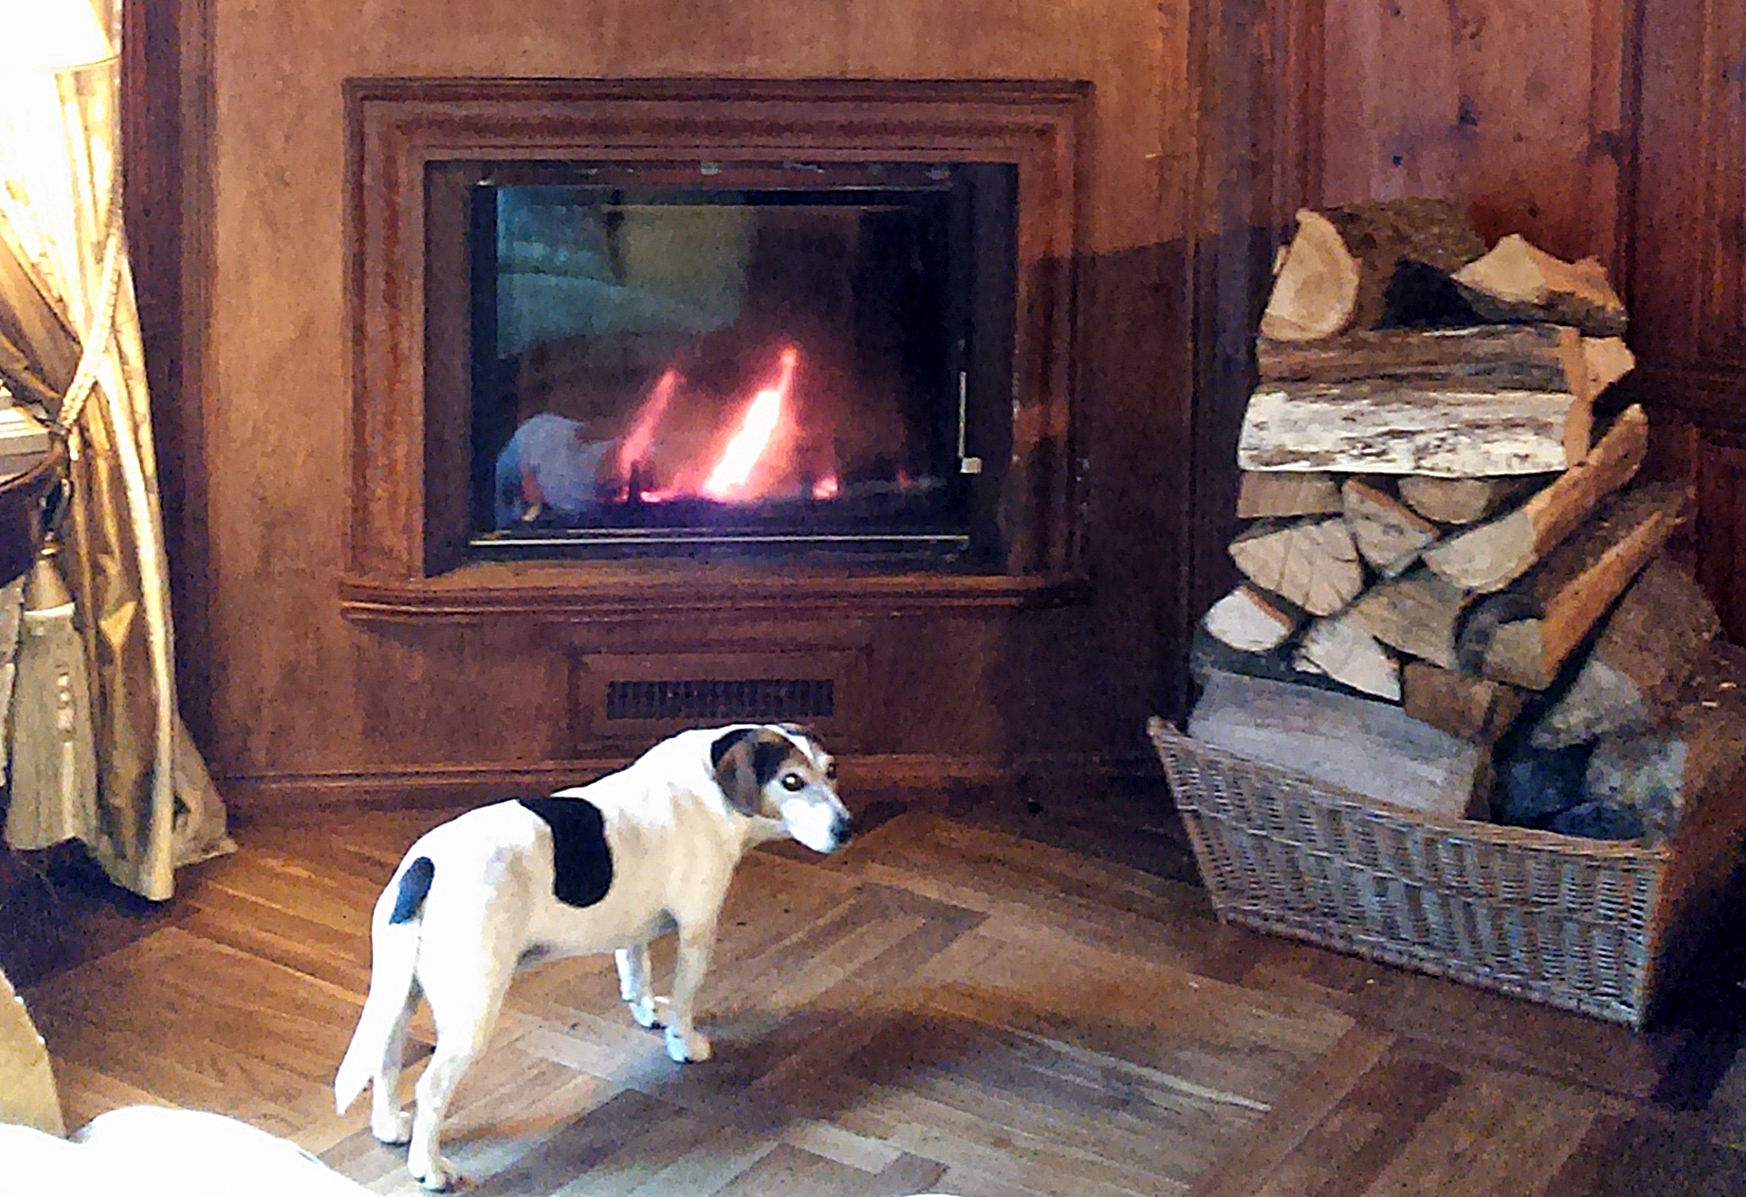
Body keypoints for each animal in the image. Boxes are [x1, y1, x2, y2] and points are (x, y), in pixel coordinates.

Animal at [333, 722, 852, 1193]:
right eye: (791, 781)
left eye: (831, 770)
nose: (846, 829)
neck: (709, 781)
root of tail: (426, 866)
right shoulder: (698, 931)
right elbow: (686, 1001)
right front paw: (685, 1043)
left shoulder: (635, 928)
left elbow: (637, 972)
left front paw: (648, 1012)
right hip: (471, 1015)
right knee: (431, 1089)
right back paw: (431, 1169)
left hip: (401, 997)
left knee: (386, 1061)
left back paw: (390, 1127)